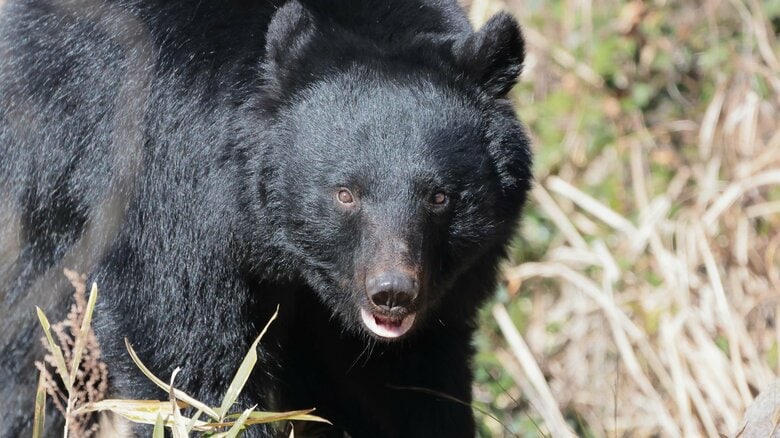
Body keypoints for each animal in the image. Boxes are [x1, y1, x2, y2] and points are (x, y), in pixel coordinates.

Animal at [0, 0, 532, 434]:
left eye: (440, 197)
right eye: (345, 194)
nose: (392, 293)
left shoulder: (446, 288)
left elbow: (406, 382)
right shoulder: (168, 184)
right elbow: (184, 354)